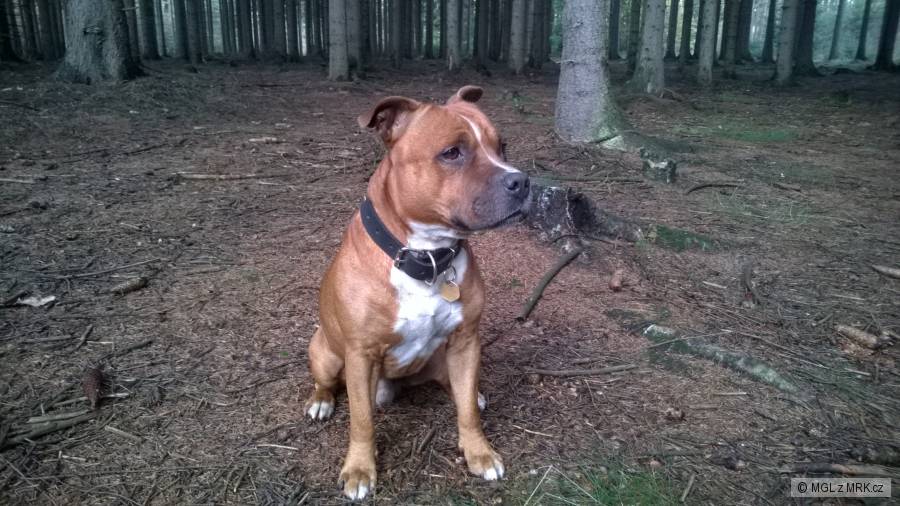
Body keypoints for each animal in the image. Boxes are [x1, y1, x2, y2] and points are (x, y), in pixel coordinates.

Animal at [305, 85, 530, 500]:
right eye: (452, 152)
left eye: (502, 146)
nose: (522, 181)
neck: (427, 257)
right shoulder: (360, 355)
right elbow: (362, 421)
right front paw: (359, 470)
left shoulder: (466, 340)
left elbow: (466, 413)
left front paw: (479, 453)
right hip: (325, 353)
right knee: (327, 383)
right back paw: (321, 402)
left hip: (446, 358)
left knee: (457, 389)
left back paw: (472, 393)